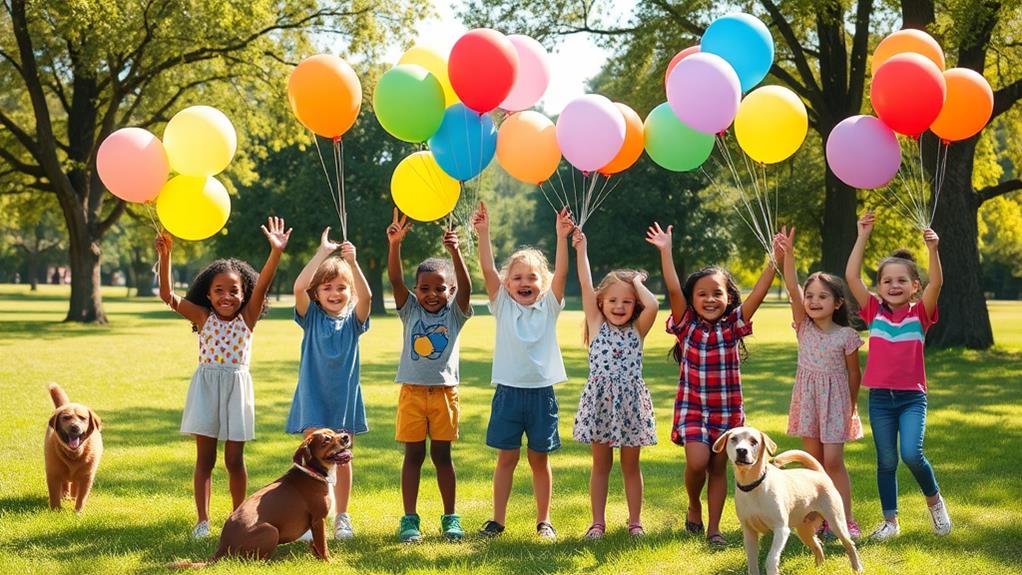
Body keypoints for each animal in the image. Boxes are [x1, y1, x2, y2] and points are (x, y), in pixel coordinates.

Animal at [44, 381, 103, 512]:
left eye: (83, 418)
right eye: (66, 417)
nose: (74, 427)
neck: (74, 454)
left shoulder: (87, 477)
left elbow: (82, 497)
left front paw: (78, 512)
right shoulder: (53, 474)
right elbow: (54, 494)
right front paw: (56, 511)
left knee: (75, 486)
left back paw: (72, 497)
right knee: (65, 484)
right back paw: (66, 496)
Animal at [173, 426, 353, 567]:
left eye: (334, 432)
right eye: (326, 440)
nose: (345, 436)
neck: (312, 472)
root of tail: (223, 547)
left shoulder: (315, 523)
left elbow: (315, 544)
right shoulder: (318, 519)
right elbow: (322, 544)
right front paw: (328, 561)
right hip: (271, 531)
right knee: (254, 562)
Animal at [715, 426, 866, 575]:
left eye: (754, 441)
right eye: (733, 439)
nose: (741, 450)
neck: (754, 485)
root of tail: (820, 473)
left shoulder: (781, 529)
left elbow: (771, 558)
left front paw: (773, 570)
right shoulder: (749, 532)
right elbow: (752, 563)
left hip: (836, 522)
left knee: (849, 544)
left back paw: (857, 568)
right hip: (804, 530)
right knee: (817, 546)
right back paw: (819, 568)